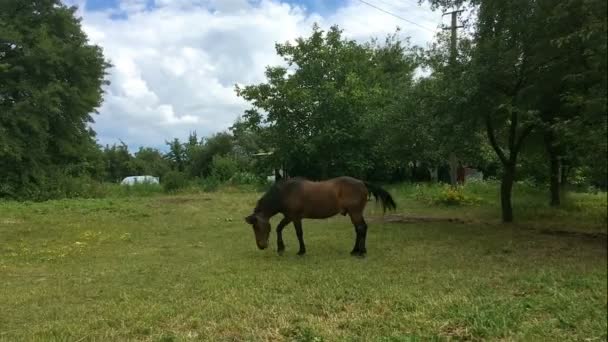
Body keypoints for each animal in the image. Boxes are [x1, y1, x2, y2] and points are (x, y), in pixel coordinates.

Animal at [245, 176, 396, 256]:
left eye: (257, 227)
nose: (261, 246)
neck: (285, 193)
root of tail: (361, 182)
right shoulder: (289, 217)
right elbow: (279, 228)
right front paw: (281, 248)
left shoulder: (295, 217)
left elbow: (298, 233)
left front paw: (301, 251)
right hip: (354, 213)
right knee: (359, 229)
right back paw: (355, 250)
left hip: (355, 213)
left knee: (361, 228)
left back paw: (361, 251)